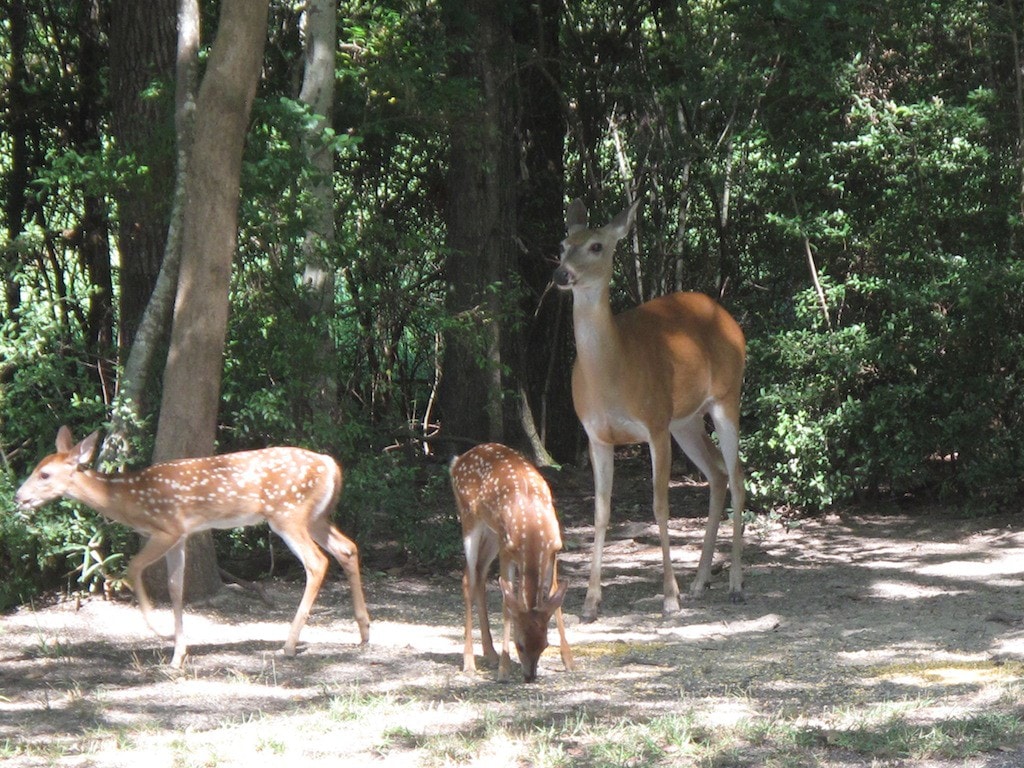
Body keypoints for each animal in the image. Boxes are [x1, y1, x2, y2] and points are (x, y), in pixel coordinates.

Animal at [14, 428, 372, 667]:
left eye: (45, 474)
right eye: (36, 468)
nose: (19, 497)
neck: (130, 500)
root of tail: (330, 464)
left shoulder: (168, 528)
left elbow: (133, 567)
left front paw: (159, 631)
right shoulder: (182, 536)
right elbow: (176, 588)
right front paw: (178, 654)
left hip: (287, 513)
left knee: (317, 562)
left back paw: (288, 645)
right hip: (315, 517)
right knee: (347, 548)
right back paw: (364, 632)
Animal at [450, 442, 573, 684]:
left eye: (545, 645)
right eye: (520, 645)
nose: (530, 676)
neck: (534, 534)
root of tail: (458, 461)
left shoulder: (554, 549)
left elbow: (553, 593)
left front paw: (569, 660)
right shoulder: (507, 550)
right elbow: (508, 604)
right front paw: (504, 670)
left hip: (491, 533)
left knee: (479, 574)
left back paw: (490, 654)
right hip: (470, 520)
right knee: (468, 579)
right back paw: (469, 663)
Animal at [557, 195, 749, 622]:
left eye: (597, 246)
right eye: (563, 243)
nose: (561, 274)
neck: (612, 375)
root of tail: (731, 320)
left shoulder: (655, 424)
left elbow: (660, 507)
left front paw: (669, 598)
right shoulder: (596, 435)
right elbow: (600, 512)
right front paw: (590, 603)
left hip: (726, 397)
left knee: (738, 475)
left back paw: (732, 585)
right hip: (687, 421)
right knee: (717, 473)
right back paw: (700, 581)